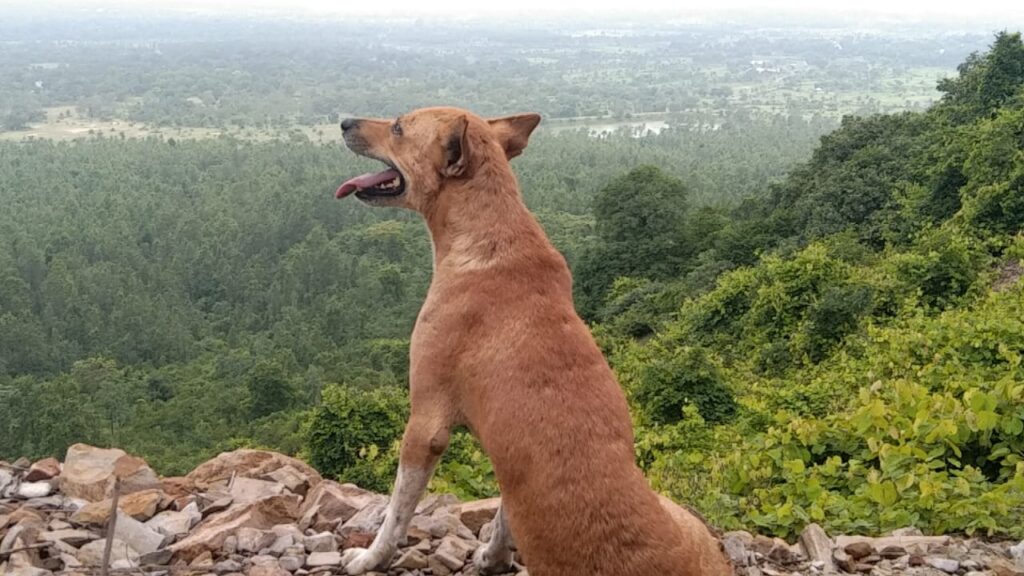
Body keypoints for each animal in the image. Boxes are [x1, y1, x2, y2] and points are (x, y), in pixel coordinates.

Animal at [333, 107, 729, 573]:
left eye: (397, 127)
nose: (344, 122)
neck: (490, 232)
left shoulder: (426, 424)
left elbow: (397, 511)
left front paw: (369, 557)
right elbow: (505, 512)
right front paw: (494, 556)